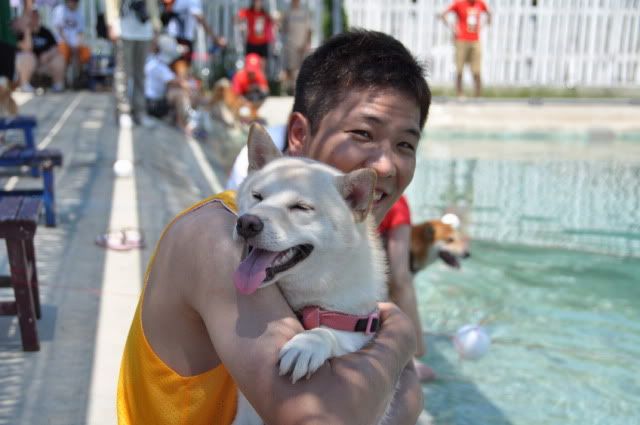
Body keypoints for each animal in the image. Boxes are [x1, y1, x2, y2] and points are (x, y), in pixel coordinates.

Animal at [231, 124, 388, 425]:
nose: (247, 223)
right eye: (257, 196)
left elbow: (332, 332)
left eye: (301, 208)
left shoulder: (362, 328)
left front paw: (309, 343)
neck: (305, 298)